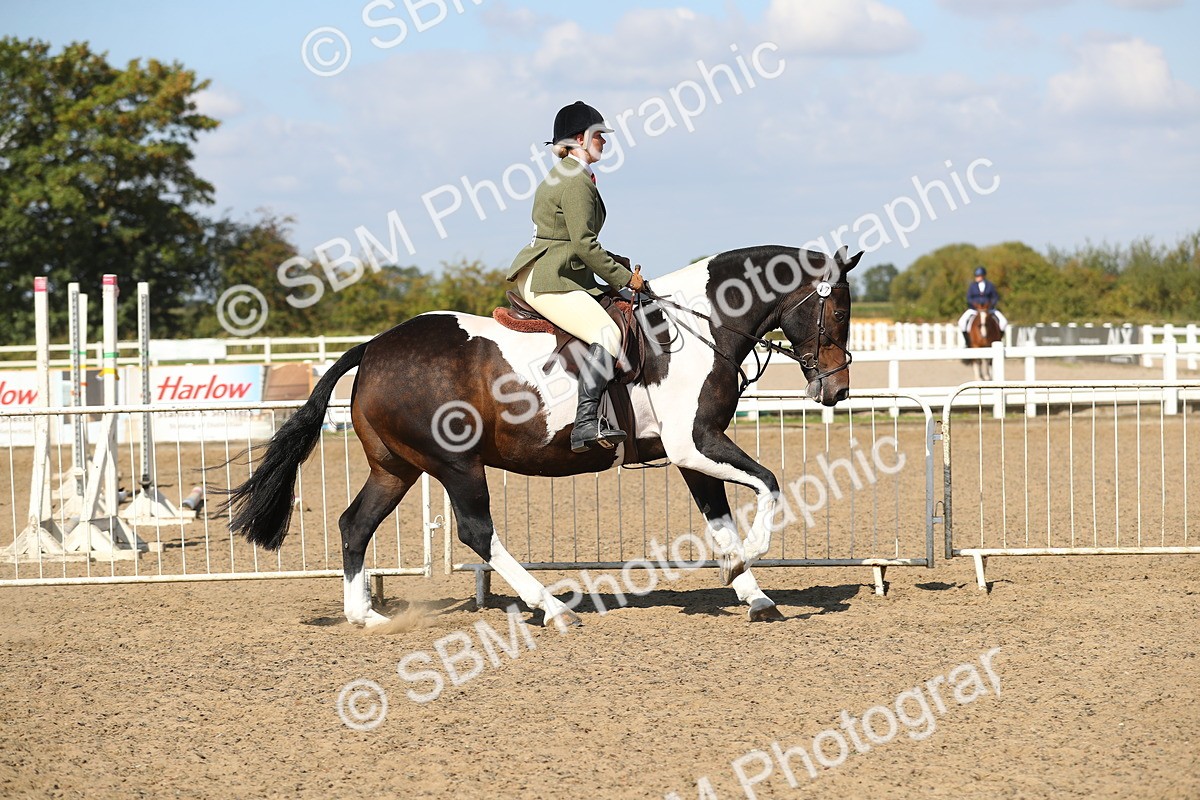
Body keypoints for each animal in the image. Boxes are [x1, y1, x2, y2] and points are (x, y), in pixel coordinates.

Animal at [223, 244, 862, 626]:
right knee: (477, 533)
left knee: (355, 524)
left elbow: (721, 518)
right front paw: (744, 566)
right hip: (456, 464)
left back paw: (367, 618)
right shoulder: (695, 442)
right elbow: (769, 484)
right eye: (838, 313)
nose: (836, 390)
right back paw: (552, 607)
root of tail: (374, 347)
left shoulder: (688, 452)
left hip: (397, 468)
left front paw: (752, 593)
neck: (697, 325)